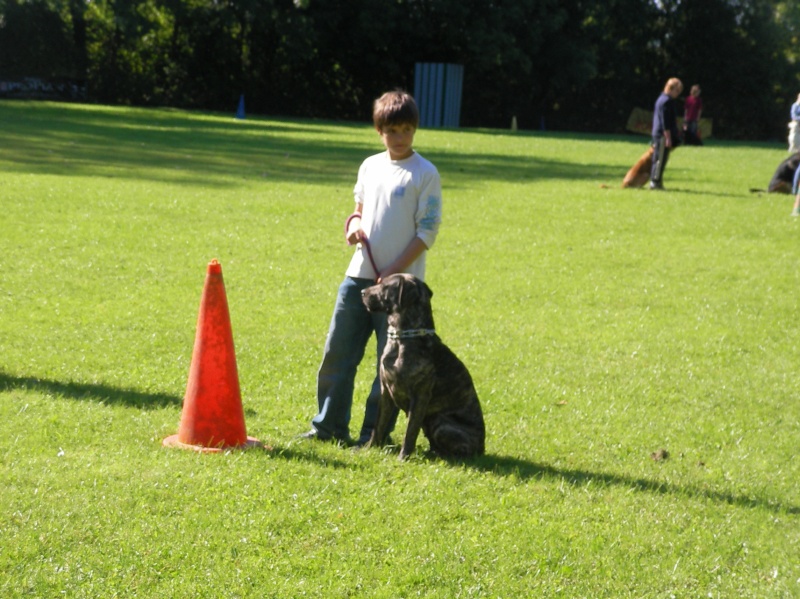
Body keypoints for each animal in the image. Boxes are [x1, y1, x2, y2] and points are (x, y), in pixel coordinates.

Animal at [360, 274, 484, 462]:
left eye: (385, 286)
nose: (362, 292)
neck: (402, 339)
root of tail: (482, 448)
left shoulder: (419, 398)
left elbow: (410, 432)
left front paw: (403, 457)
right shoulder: (386, 392)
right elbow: (378, 425)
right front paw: (369, 448)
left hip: (441, 423)